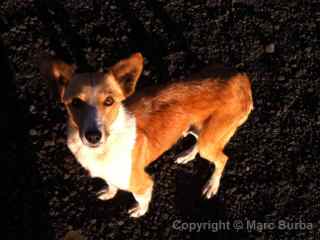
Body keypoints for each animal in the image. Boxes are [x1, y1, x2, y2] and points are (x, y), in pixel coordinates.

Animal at [40, 52, 254, 218]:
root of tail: (241, 78)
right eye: (75, 102)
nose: (93, 136)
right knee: (199, 144)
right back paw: (186, 155)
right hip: (197, 129)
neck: (103, 149)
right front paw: (109, 192)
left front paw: (140, 211)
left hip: (210, 141)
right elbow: (111, 183)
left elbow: (141, 197)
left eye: (109, 101)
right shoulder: (109, 173)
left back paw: (212, 186)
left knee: (222, 159)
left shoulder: (142, 183)